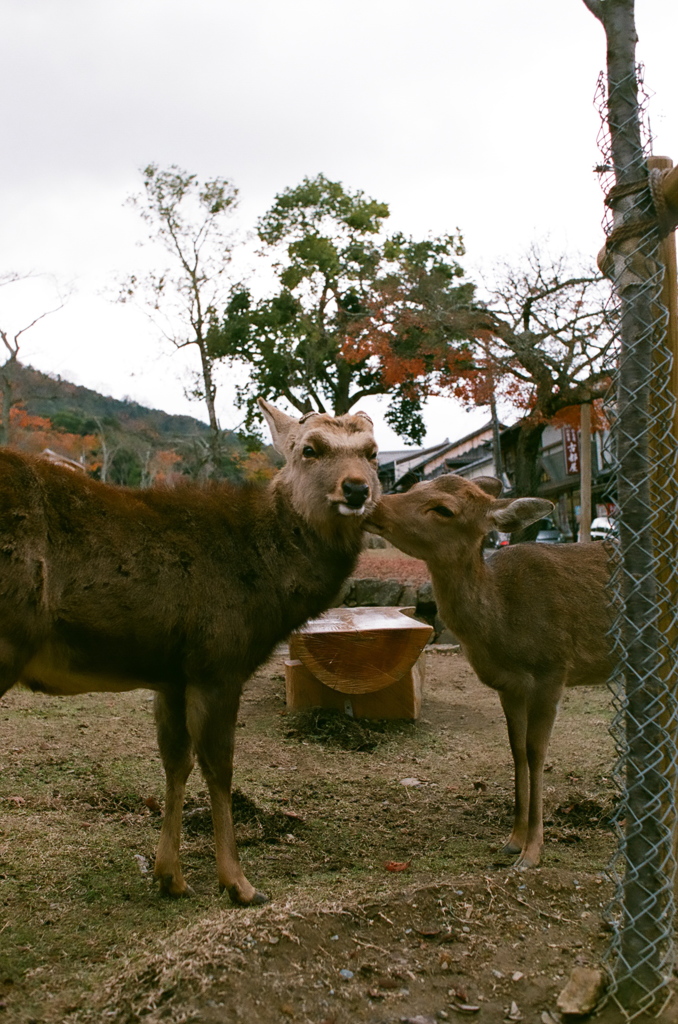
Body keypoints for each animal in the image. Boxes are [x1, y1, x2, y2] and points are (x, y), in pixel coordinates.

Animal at [0, 399, 383, 905]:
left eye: (373, 452)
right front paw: (239, 883)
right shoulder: (218, 661)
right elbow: (220, 767)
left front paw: (170, 877)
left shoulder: (172, 675)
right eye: (310, 449)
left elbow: (175, 761)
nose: (357, 488)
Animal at [368, 475, 614, 868]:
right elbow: (516, 750)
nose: (372, 503)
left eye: (444, 509)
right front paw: (512, 840)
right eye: (417, 484)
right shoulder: (507, 685)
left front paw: (532, 853)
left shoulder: (552, 669)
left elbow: (536, 752)